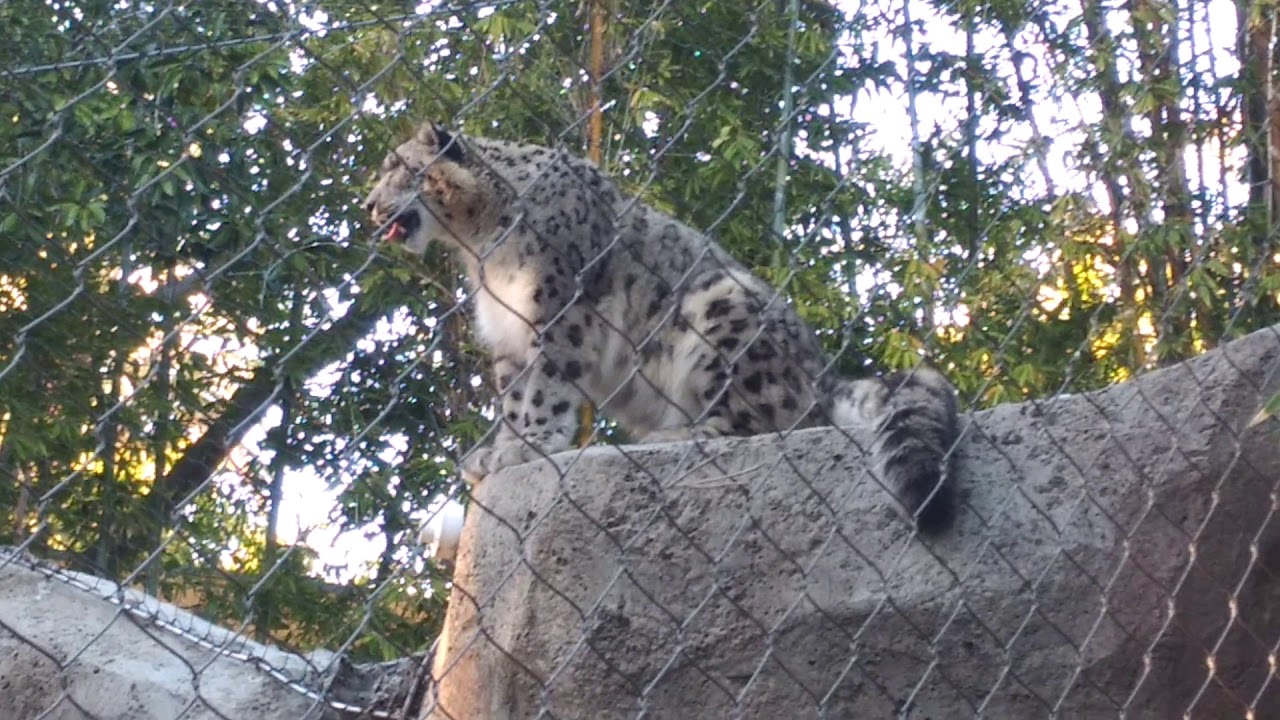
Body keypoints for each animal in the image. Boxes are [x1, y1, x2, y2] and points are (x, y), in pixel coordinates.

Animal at [363, 122, 960, 532]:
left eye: (398, 168)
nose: (368, 206)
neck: (479, 244)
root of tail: (820, 375)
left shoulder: (560, 310)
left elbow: (547, 387)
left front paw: (530, 444)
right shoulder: (508, 334)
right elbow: (512, 396)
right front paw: (500, 449)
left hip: (723, 314)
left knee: (755, 423)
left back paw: (670, 435)